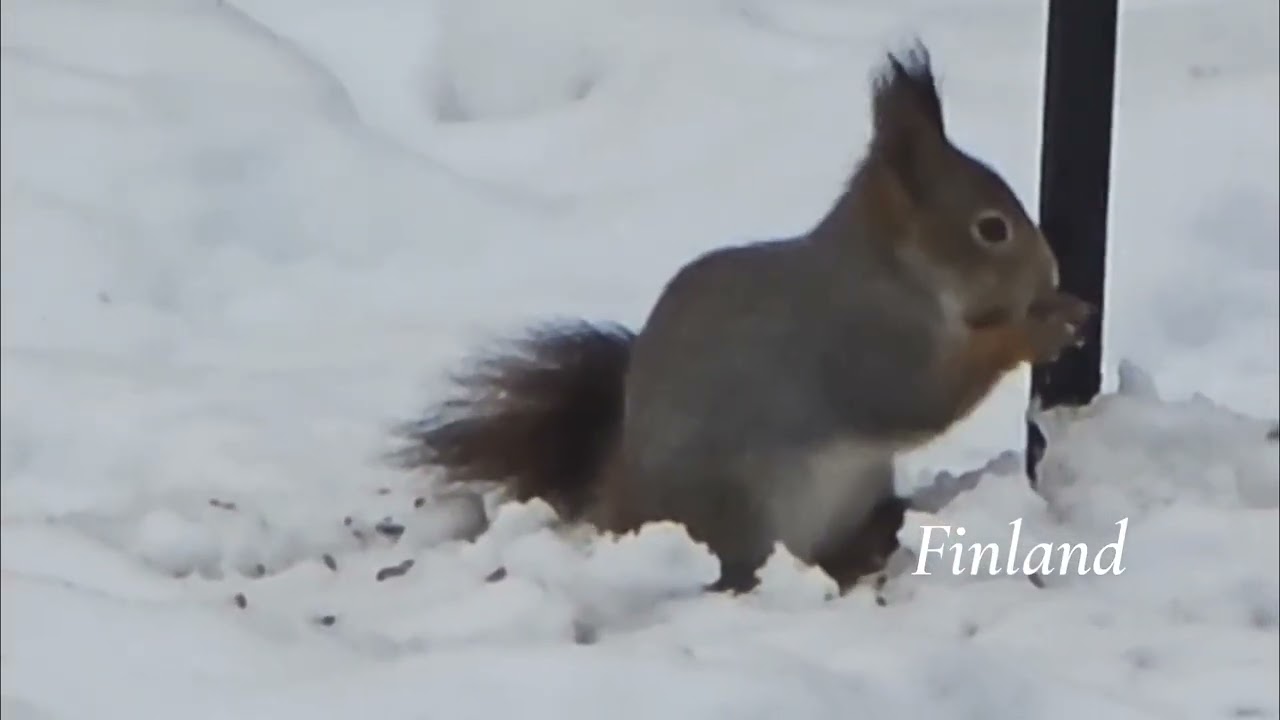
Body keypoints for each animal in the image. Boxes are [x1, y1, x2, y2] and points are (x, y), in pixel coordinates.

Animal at [391, 43, 1094, 595]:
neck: (895, 274)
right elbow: (926, 397)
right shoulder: (862, 345)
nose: (1051, 272)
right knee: (743, 573)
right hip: (745, 507)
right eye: (991, 229)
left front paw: (1063, 309)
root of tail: (628, 511)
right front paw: (1035, 331)